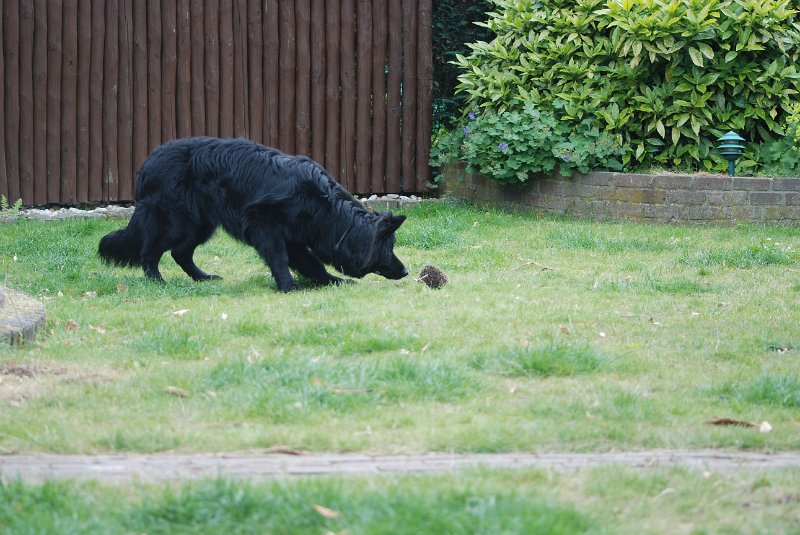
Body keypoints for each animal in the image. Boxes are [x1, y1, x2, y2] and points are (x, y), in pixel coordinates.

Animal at [99, 136, 410, 292]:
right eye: (388, 248)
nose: (407, 271)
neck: (326, 208)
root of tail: (148, 162)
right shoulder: (266, 228)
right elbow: (280, 259)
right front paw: (288, 286)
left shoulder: (294, 238)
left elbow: (311, 263)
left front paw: (330, 282)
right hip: (175, 222)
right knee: (150, 253)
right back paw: (157, 282)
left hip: (201, 225)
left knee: (180, 253)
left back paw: (202, 278)